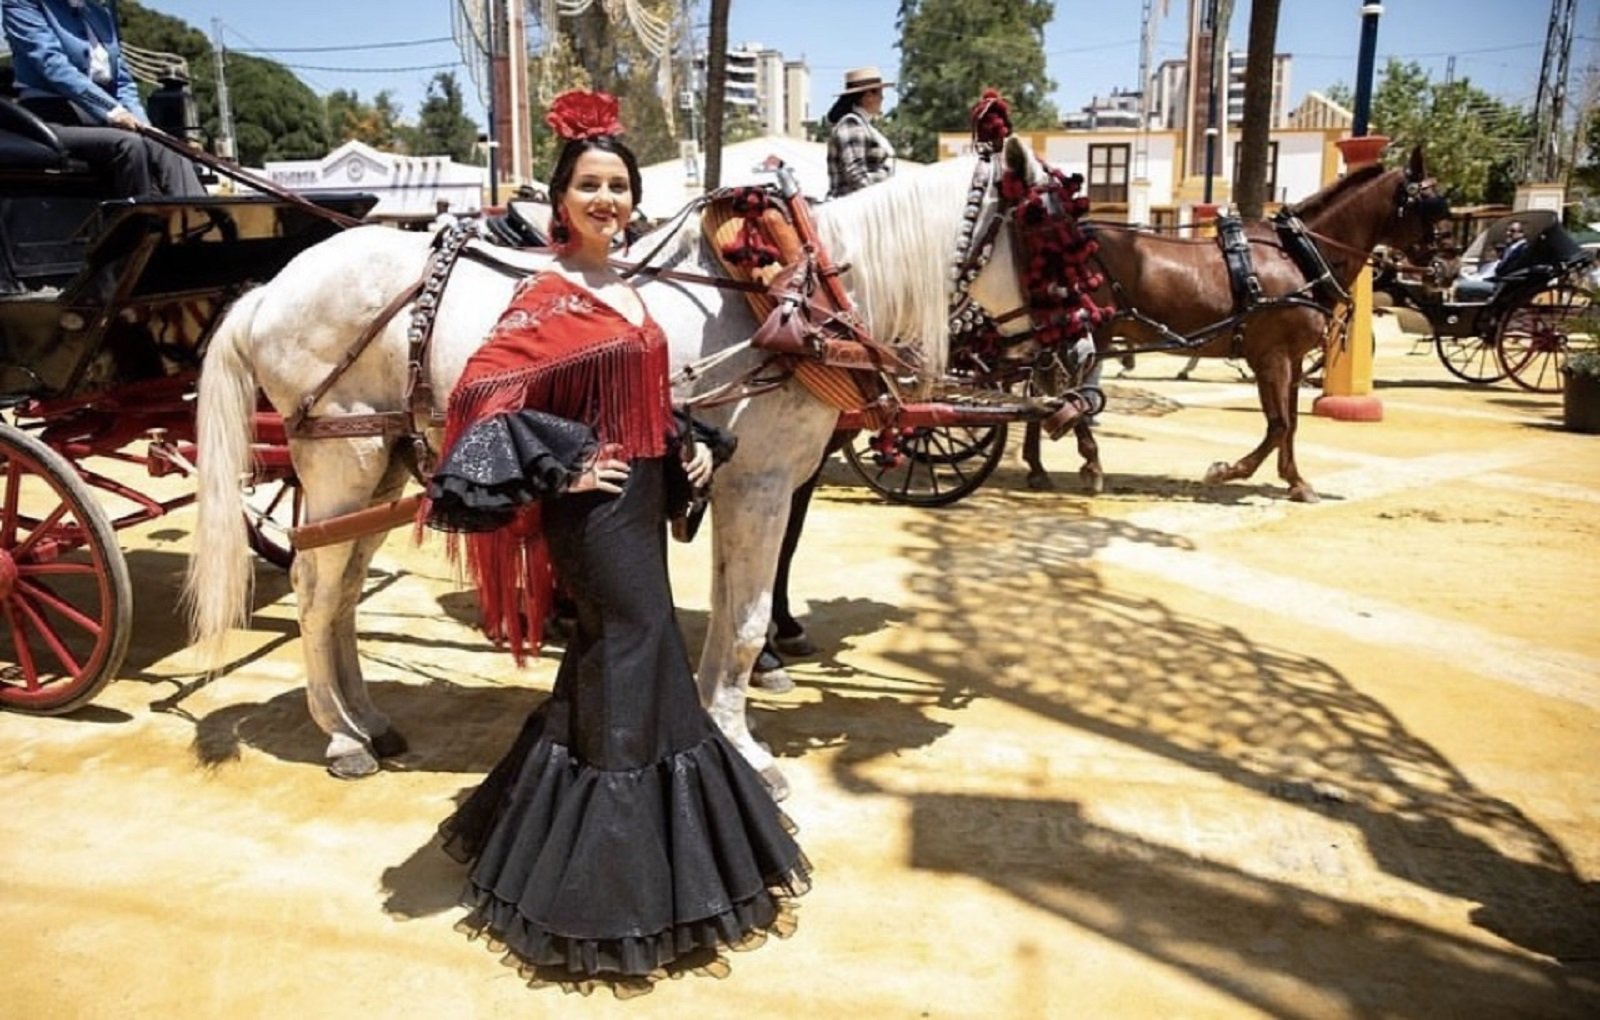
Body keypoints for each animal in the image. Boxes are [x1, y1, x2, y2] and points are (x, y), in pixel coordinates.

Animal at [187, 134, 1049, 799]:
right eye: (1052, 222)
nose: (1069, 355)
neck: (789, 296)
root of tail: (270, 291)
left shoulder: (740, 481)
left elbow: (731, 610)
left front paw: (719, 725)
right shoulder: (765, 484)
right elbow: (745, 621)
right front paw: (750, 749)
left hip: (387, 464)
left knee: (342, 592)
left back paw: (366, 718)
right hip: (342, 458)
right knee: (313, 586)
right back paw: (339, 737)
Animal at [1024, 145, 1452, 505]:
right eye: (1432, 206)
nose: (1448, 268)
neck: (1299, 254)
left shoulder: (1292, 359)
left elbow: (1292, 424)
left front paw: (1295, 481)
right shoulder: (1271, 357)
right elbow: (1278, 424)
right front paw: (1227, 471)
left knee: (1038, 388)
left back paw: (1038, 465)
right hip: (1090, 334)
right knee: (1062, 393)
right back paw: (1089, 461)